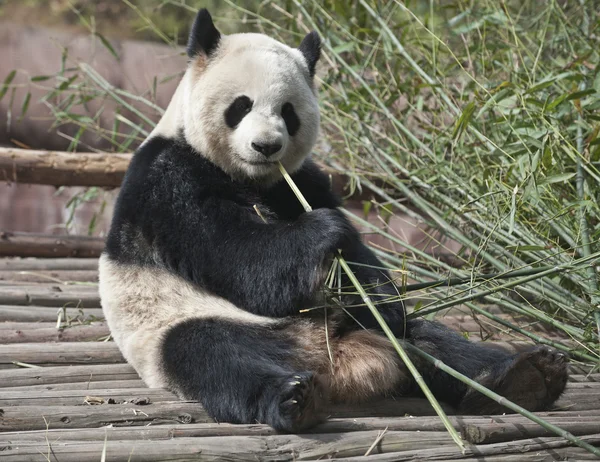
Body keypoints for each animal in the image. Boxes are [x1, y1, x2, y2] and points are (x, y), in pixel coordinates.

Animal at [101, 8, 568, 434]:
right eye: (241, 106)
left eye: (288, 112)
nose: (266, 146)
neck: (250, 177)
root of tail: (330, 362)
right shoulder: (170, 181)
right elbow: (239, 256)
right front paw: (324, 232)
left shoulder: (304, 180)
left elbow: (362, 264)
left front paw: (365, 277)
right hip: (181, 325)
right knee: (215, 355)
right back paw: (292, 398)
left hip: (362, 326)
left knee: (429, 339)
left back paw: (525, 376)